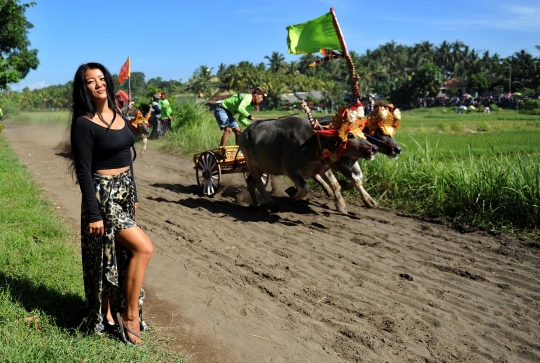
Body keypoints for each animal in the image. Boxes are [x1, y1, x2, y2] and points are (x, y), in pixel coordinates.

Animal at [238, 116, 378, 213]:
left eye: (362, 132)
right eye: (350, 135)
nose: (374, 148)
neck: (311, 145)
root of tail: (243, 133)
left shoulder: (324, 168)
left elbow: (337, 184)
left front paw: (343, 205)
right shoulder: (289, 169)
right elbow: (304, 188)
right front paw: (292, 193)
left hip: (262, 166)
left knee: (251, 182)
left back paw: (256, 204)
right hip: (252, 165)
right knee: (259, 184)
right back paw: (272, 204)